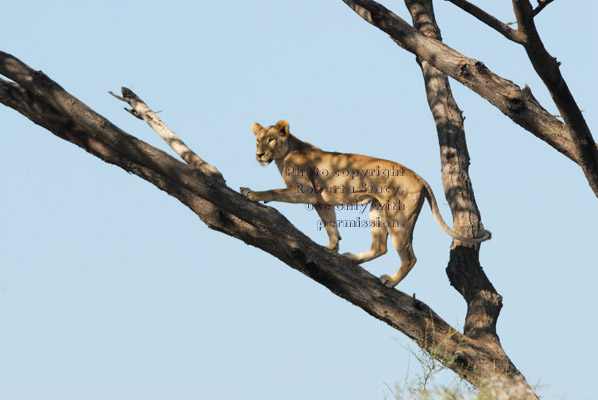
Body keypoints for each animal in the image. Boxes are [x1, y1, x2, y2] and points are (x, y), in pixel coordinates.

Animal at [239, 119, 492, 288]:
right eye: (257, 140)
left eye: (271, 139)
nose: (259, 154)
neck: (284, 155)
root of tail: (420, 178)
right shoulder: (322, 201)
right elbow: (331, 225)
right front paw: (332, 248)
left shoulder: (305, 192)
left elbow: (274, 191)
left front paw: (251, 193)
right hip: (377, 211)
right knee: (381, 247)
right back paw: (353, 258)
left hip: (398, 218)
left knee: (410, 257)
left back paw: (390, 281)